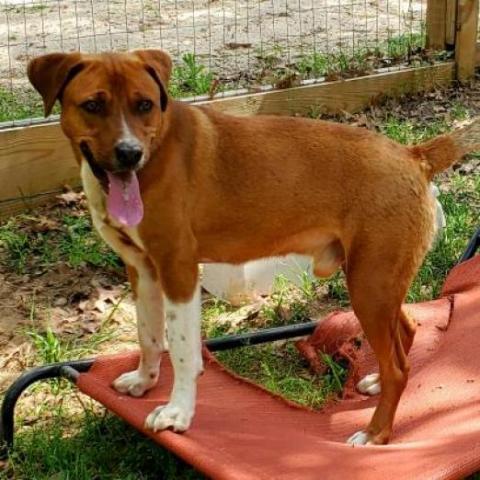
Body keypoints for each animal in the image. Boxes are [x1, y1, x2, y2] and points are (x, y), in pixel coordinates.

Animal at [28, 49, 478, 446]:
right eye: (92, 105)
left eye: (144, 105)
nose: (128, 153)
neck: (153, 158)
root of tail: (413, 154)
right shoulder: (141, 269)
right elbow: (148, 335)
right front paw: (144, 381)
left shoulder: (178, 270)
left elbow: (183, 349)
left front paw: (178, 413)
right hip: (375, 284)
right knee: (409, 328)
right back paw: (374, 382)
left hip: (370, 286)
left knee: (399, 367)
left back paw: (376, 433)